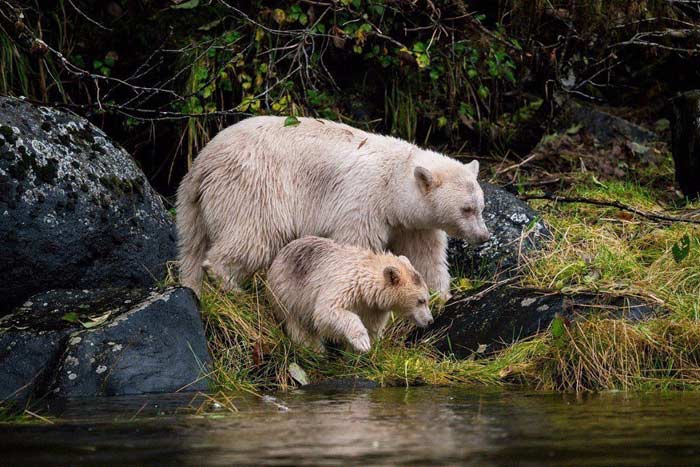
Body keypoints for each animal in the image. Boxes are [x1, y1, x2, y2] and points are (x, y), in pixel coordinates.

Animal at [178, 117, 490, 300]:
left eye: (481, 207)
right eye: (466, 209)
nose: (484, 236)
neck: (393, 183)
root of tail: (203, 161)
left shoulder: (413, 222)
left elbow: (425, 255)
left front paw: (439, 296)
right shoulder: (364, 201)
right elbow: (357, 243)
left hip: (195, 204)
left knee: (192, 243)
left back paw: (192, 285)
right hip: (253, 187)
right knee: (256, 235)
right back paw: (229, 284)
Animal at [268, 236, 432, 352]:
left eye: (427, 299)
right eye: (421, 300)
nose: (430, 320)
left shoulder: (374, 308)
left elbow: (372, 326)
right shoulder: (345, 286)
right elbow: (328, 311)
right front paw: (362, 341)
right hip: (288, 293)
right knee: (298, 325)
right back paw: (315, 349)